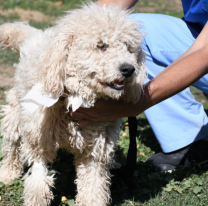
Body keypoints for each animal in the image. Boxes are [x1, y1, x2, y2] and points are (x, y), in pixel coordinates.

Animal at [0, 3, 145, 206]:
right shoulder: (39, 140)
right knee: (11, 144)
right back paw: (7, 173)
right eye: (101, 45)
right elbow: (38, 182)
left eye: (129, 48)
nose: (129, 69)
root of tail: (35, 36)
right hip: (16, 113)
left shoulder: (95, 150)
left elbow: (93, 187)